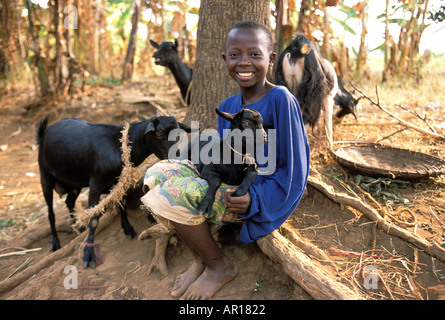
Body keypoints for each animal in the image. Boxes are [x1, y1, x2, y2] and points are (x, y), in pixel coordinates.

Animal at [36, 115, 191, 268]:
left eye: (178, 133)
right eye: (158, 133)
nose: (176, 155)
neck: (120, 146)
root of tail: (44, 132)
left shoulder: (118, 182)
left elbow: (121, 203)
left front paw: (127, 228)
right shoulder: (95, 183)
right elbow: (94, 220)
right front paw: (88, 254)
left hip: (74, 183)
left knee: (69, 201)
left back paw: (77, 227)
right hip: (44, 176)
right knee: (51, 213)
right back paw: (55, 243)